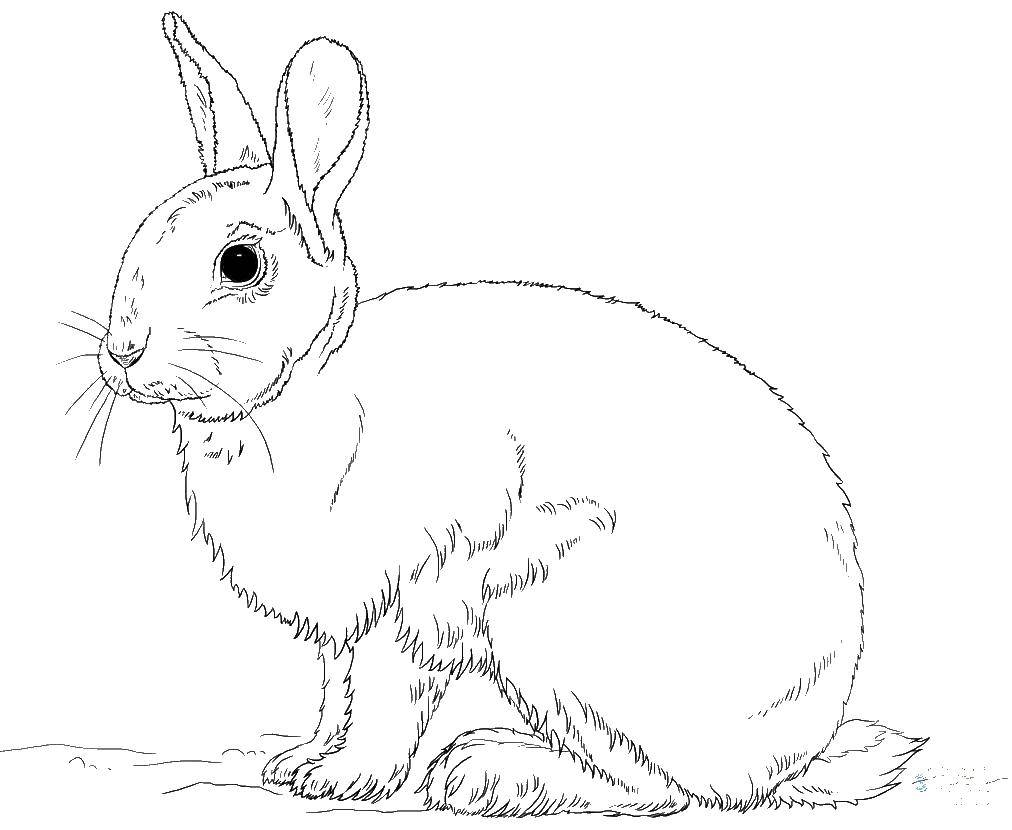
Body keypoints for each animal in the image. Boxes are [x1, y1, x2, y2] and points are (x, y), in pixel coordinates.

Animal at [89, 12, 925, 816]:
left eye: (240, 264)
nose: (121, 352)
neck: (306, 391)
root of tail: (791, 753)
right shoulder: (344, 624)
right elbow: (337, 693)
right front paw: (299, 763)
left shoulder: (418, 591)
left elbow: (386, 698)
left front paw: (347, 780)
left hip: (559, 623)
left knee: (659, 789)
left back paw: (490, 774)